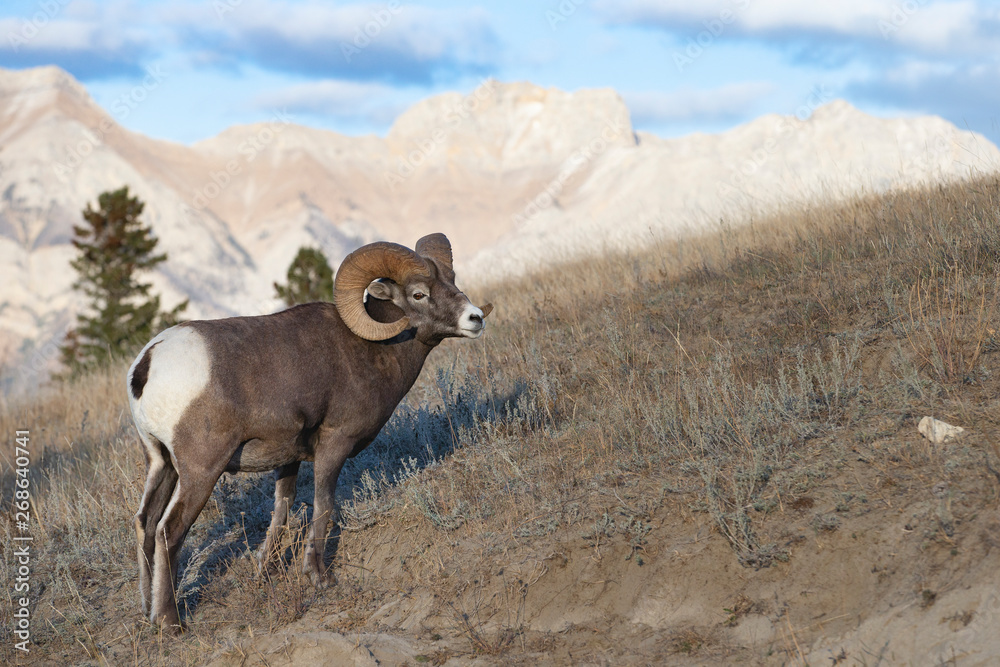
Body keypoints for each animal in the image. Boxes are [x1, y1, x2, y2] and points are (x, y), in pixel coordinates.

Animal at [126, 233, 492, 633]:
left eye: (452, 281)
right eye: (418, 294)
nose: (475, 319)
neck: (373, 350)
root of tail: (148, 364)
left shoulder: (286, 459)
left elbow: (282, 511)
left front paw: (265, 572)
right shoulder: (334, 443)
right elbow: (323, 505)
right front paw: (320, 578)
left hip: (161, 464)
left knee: (146, 524)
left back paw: (146, 609)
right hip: (200, 472)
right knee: (169, 530)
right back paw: (170, 622)